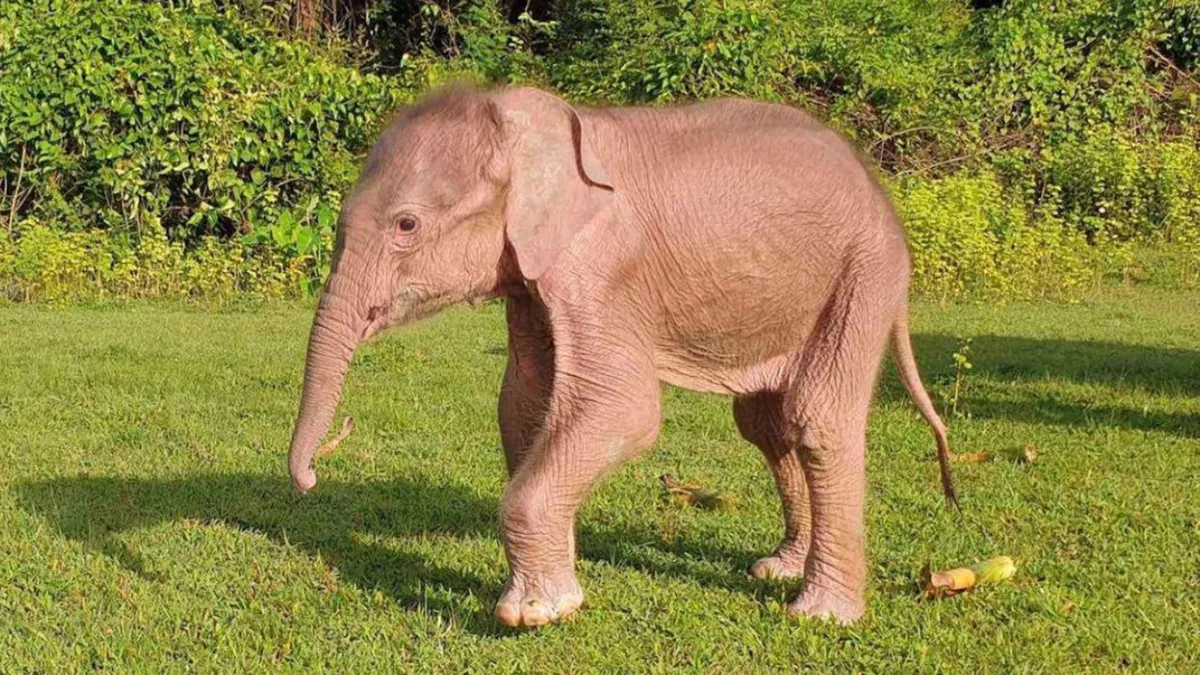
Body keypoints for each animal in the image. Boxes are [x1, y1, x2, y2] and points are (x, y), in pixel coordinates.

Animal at [286, 84, 956, 627]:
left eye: (406, 226)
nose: (311, 479)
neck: (530, 121)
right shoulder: (534, 276)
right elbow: (523, 403)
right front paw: (552, 586)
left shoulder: (603, 268)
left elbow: (622, 408)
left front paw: (535, 614)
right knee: (766, 423)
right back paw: (779, 569)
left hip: (864, 270)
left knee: (818, 417)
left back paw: (821, 613)